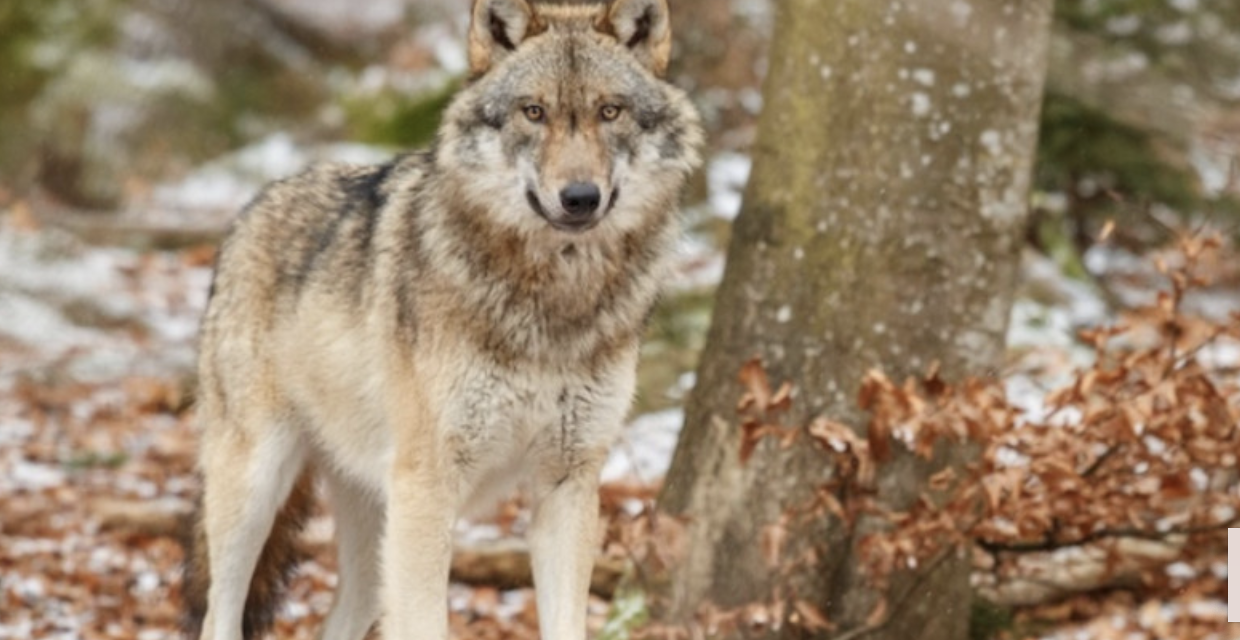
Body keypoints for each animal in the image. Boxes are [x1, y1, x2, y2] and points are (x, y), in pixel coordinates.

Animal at [181, 0, 702, 639]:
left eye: (611, 111)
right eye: (533, 111)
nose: (580, 197)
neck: (551, 305)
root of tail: (252, 207)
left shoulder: (568, 483)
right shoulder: (429, 488)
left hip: (372, 542)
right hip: (257, 488)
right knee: (218, 614)